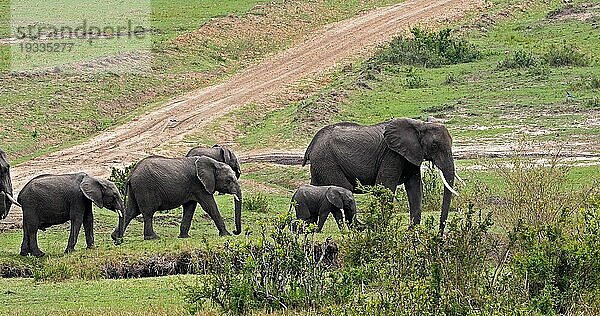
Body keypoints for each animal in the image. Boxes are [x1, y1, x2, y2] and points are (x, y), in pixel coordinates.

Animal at [111, 156, 243, 242]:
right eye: (229, 180)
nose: (235, 232)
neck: (214, 163)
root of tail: (131, 174)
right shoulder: (199, 185)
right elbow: (210, 206)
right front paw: (226, 235)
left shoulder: (193, 187)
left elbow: (190, 208)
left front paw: (184, 237)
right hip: (144, 187)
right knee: (147, 213)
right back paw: (153, 238)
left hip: (136, 188)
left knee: (131, 211)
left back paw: (116, 237)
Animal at [302, 118, 458, 232]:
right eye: (434, 145)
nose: (440, 233)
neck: (419, 125)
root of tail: (311, 146)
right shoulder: (392, 154)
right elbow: (385, 186)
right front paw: (383, 228)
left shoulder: (410, 155)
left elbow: (415, 187)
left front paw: (412, 230)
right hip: (327, 161)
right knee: (345, 188)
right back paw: (361, 227)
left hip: (321, 165)